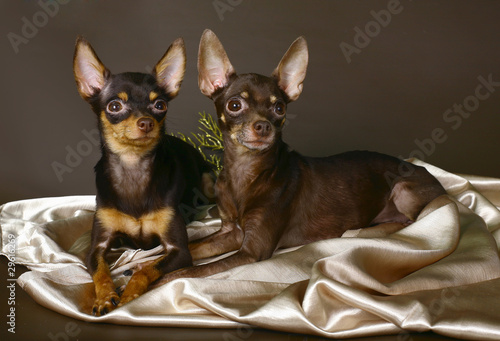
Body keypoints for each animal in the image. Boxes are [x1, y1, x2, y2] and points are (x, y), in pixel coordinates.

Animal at [72, 35, 211, 314]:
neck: (133, 166)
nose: (146, 122)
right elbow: (101, 272)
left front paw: (129, 295)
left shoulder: (179, 251)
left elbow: (145, 269)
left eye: (160, 105)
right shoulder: (96, 249)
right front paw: (105, 297)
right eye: (115, 106)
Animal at [152, 28, 446, 284]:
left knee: (410, 220)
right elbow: (187, 248)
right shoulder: (229, 233)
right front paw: (147, 267)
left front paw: (154, 282)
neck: (246, 173)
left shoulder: (252, 250)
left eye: (279, 108)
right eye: (235, 105)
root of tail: (429, 174)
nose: (263, 126)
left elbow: (186, 272)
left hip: (403, 190)